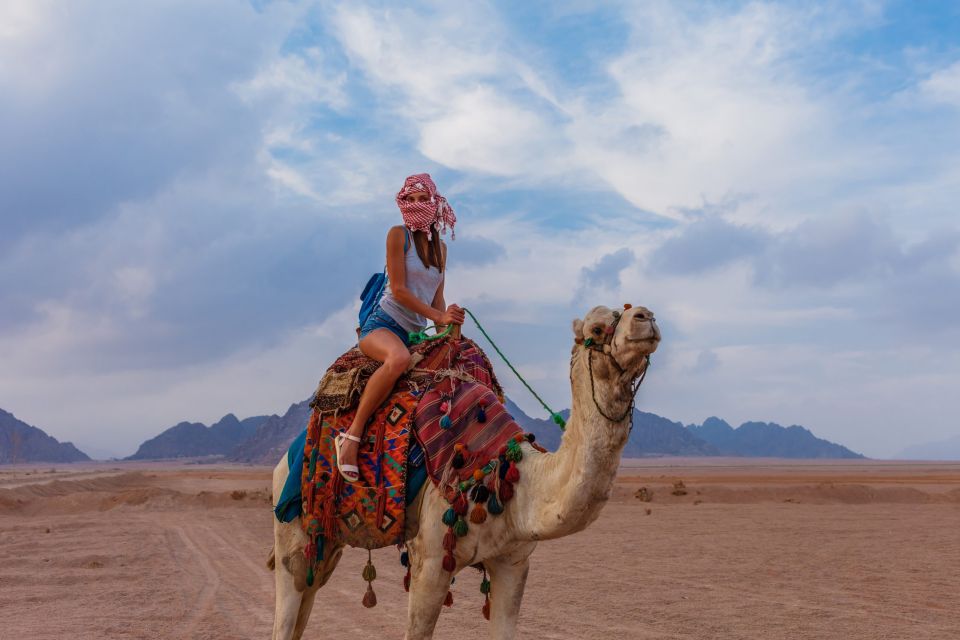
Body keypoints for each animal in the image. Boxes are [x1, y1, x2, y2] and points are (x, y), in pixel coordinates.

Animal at [268, 304, 660, 640]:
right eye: (596, 328)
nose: (647, 316)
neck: (513, 479)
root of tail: (286, 457)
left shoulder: (513, 562)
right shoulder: (429, 561)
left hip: (326, 541)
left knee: (308, 595)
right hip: (292, 531)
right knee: (287, 608)